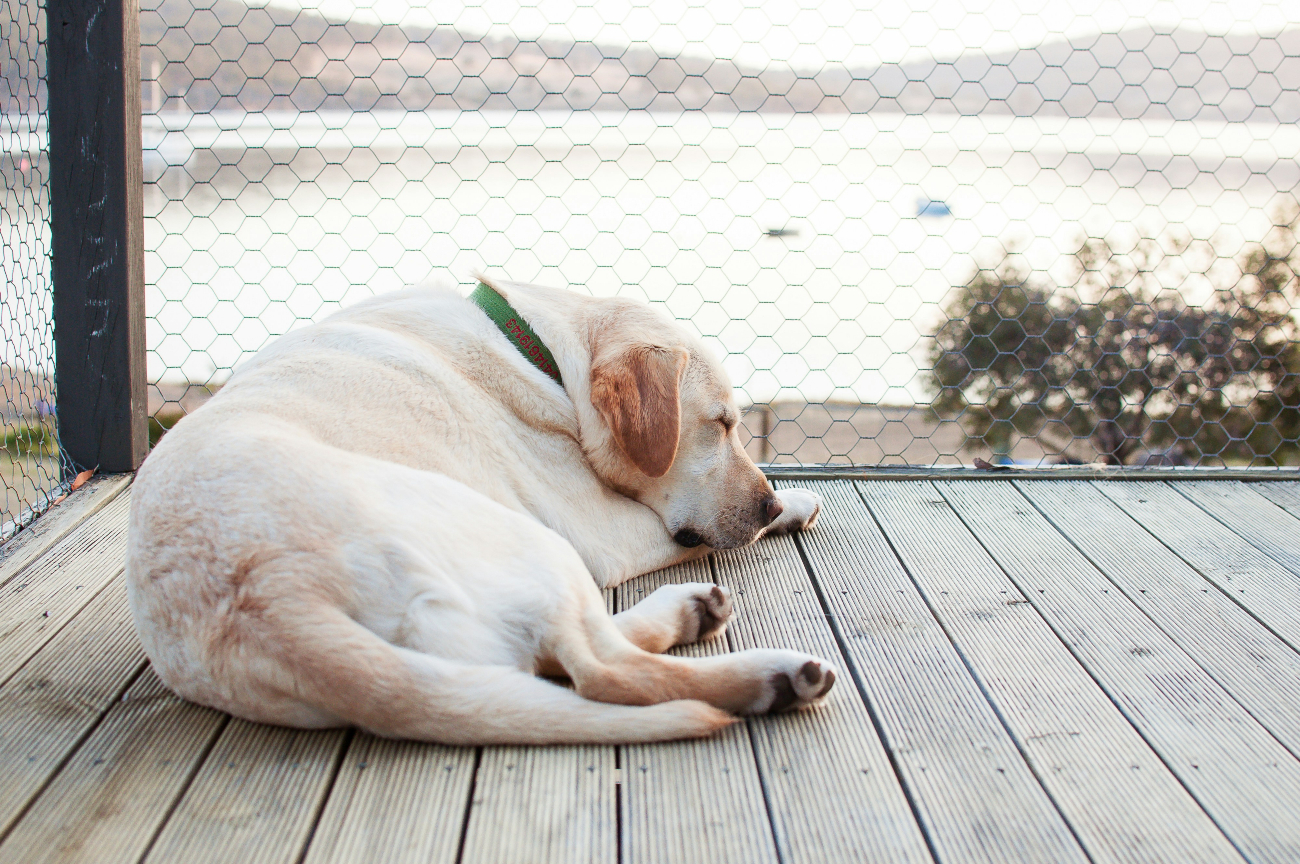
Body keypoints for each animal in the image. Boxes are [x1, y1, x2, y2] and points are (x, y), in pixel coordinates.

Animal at [129, 276, 832, 743]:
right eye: (722, 424)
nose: (766, 503)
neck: (541, 357)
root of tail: (272, 600)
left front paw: (790, 501)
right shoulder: (602, 530)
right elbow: (694, 535)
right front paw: (785, 505)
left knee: (551, 657)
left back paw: (691, 613)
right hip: (531, 541)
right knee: (604, 671)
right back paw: (773, 677)